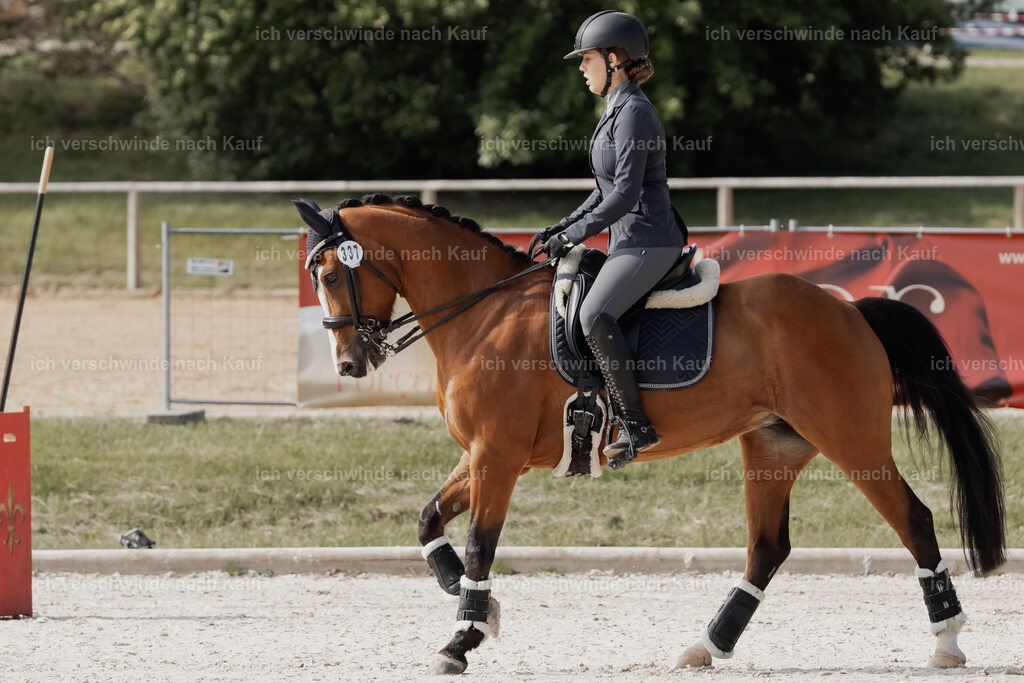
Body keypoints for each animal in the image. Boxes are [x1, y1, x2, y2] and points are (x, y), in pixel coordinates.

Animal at [293, 193, 1005, 675]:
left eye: (328, 275)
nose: (349, 364)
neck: (482, 309)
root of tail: (850, 308)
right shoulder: (484, 455)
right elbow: (428, 522)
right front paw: (479, 611)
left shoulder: (497, 456)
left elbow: (478, 546)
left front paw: (461, 639)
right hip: (773, 444)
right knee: (767, 548)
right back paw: (706, 645)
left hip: (851, 440)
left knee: (913, 519)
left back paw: (947, 641)